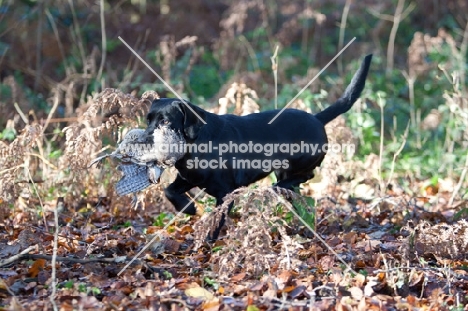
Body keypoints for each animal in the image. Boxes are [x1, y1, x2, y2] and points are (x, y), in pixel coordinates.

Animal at [144, 54, 372, 239]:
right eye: (148, 120)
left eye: (165, 121)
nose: (145, 138)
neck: (196, 144)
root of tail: (317, 118)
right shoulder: (187, 178)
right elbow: (169, 191)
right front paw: (189, 208)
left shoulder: (225, 193)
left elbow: (215, 222)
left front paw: (207, 243)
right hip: (283, 170)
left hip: (298, 162)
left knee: (306, 175)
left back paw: (279, 188)